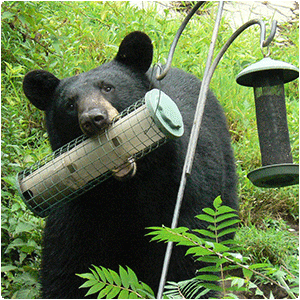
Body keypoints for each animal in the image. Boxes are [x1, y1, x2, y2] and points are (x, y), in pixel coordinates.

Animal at [22, 30, 238, 298]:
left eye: (108, 87)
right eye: (70, 104)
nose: (94, 119)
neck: (125, 191)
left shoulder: (181, 193)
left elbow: (185, 261)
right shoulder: (78, 210)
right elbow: (67, 266)